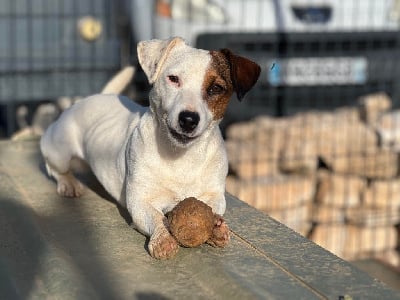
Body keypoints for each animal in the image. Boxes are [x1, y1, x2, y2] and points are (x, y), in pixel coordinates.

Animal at [39, 37, 260, 258]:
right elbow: (155, 218)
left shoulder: (215, 194)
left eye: (216, 88)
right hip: (59, 150)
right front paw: (162, 239)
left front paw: (217, 227)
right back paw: (69, 183)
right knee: (55, 168)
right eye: (173, 79)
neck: (181, 157)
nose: (188, 120)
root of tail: (97, 96)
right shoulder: (140, 200)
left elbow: (212, 208)